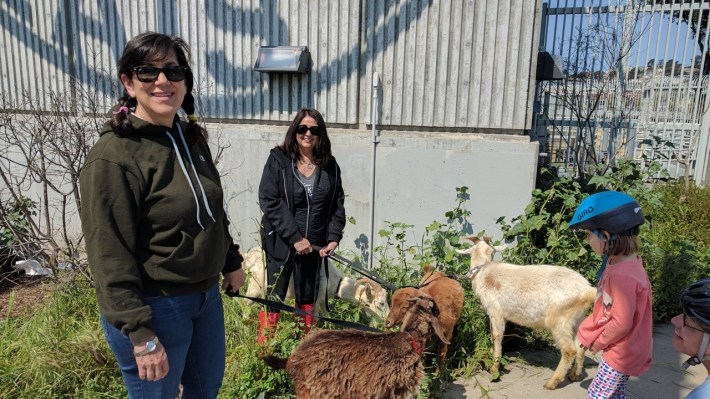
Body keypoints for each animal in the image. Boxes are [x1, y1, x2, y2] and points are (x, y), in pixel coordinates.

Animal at [243, 247, 390, 322]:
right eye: (381, 303)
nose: (388, 320)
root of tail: (248, 256)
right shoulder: (316, 298)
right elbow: (315, 319)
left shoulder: (322, 301)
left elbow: (326, 316)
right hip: (255, 286)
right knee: (245, 304)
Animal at [262, 296, 450, 399]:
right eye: (435, 309)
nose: (441, 312)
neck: (411, 339)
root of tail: (294, 358)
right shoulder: (399, 390)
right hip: (313, 392)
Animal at [458, 238, 596, 390]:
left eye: (493, 251)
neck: (483, 271)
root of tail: (587, 289)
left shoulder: (496, 312)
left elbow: (496, 337)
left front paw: (494, 370)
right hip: (577, 319)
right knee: (581, 346)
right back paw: (574, 375)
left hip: (560, 319)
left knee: (569, 350)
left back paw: (551, 383)